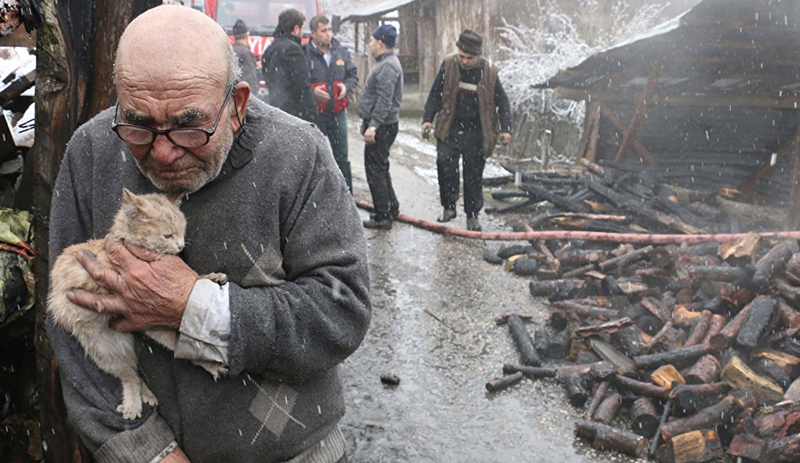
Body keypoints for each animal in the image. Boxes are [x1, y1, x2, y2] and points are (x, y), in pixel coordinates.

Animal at [47, 188, 225, 420]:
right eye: (168, 235)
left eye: (182, 231)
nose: (181, 245)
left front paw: (210, 278)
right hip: (104, 349)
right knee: (129, 374)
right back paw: (133, 404)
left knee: (150, 362)